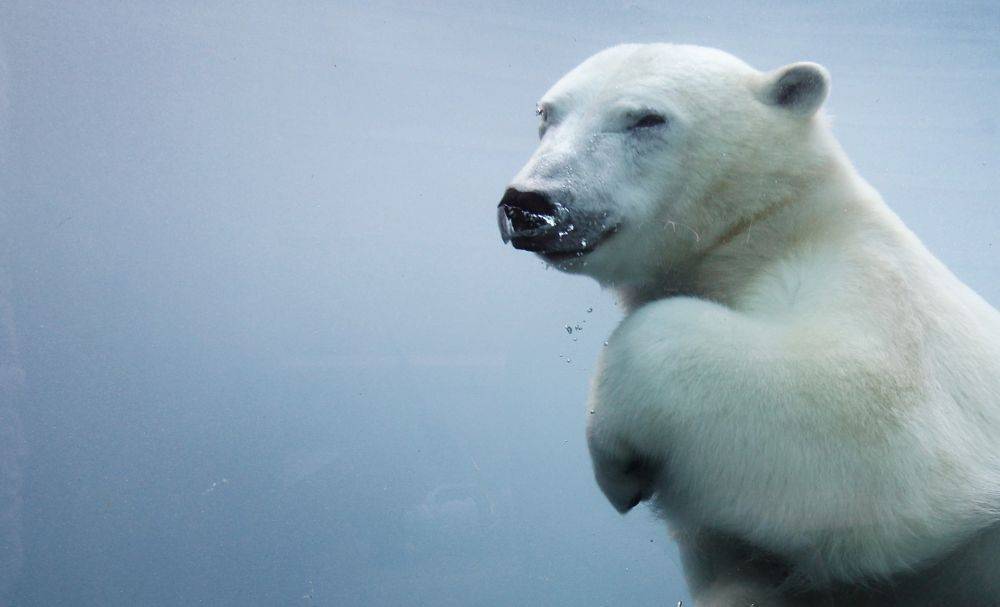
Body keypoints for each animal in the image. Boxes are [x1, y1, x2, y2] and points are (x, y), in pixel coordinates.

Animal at [498, 45, 1000, 604]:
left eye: (646, 119)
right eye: (546, 114)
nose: (530, 202)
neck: (772, 227)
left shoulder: (878, 294)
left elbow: (865, 421)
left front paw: (618, 465)